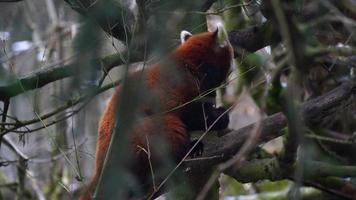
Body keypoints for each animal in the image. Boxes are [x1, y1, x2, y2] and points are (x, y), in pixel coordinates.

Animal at [79, 25, 232, 199]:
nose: (233, 67)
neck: (192, 64)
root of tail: (100, 166)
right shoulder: (182, 90)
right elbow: (195, 115)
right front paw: (220, 117)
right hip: (139, 136)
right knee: (169, 130)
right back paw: (190, 149)